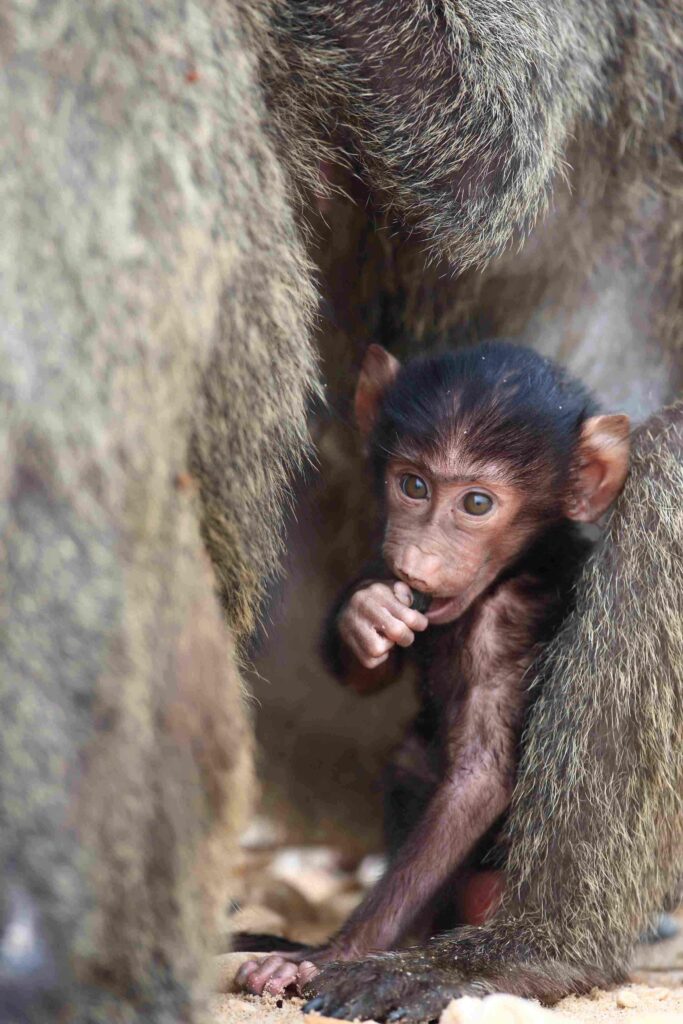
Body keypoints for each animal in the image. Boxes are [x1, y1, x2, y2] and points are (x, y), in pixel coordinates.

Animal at [236, 338, 631, 998]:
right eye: (413, 485)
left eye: (476, 503)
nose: (418, 559)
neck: (507, 571)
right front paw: (367, 615)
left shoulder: (511, 623)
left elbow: (481, 777)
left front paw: (333, 953)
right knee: (412, 757)